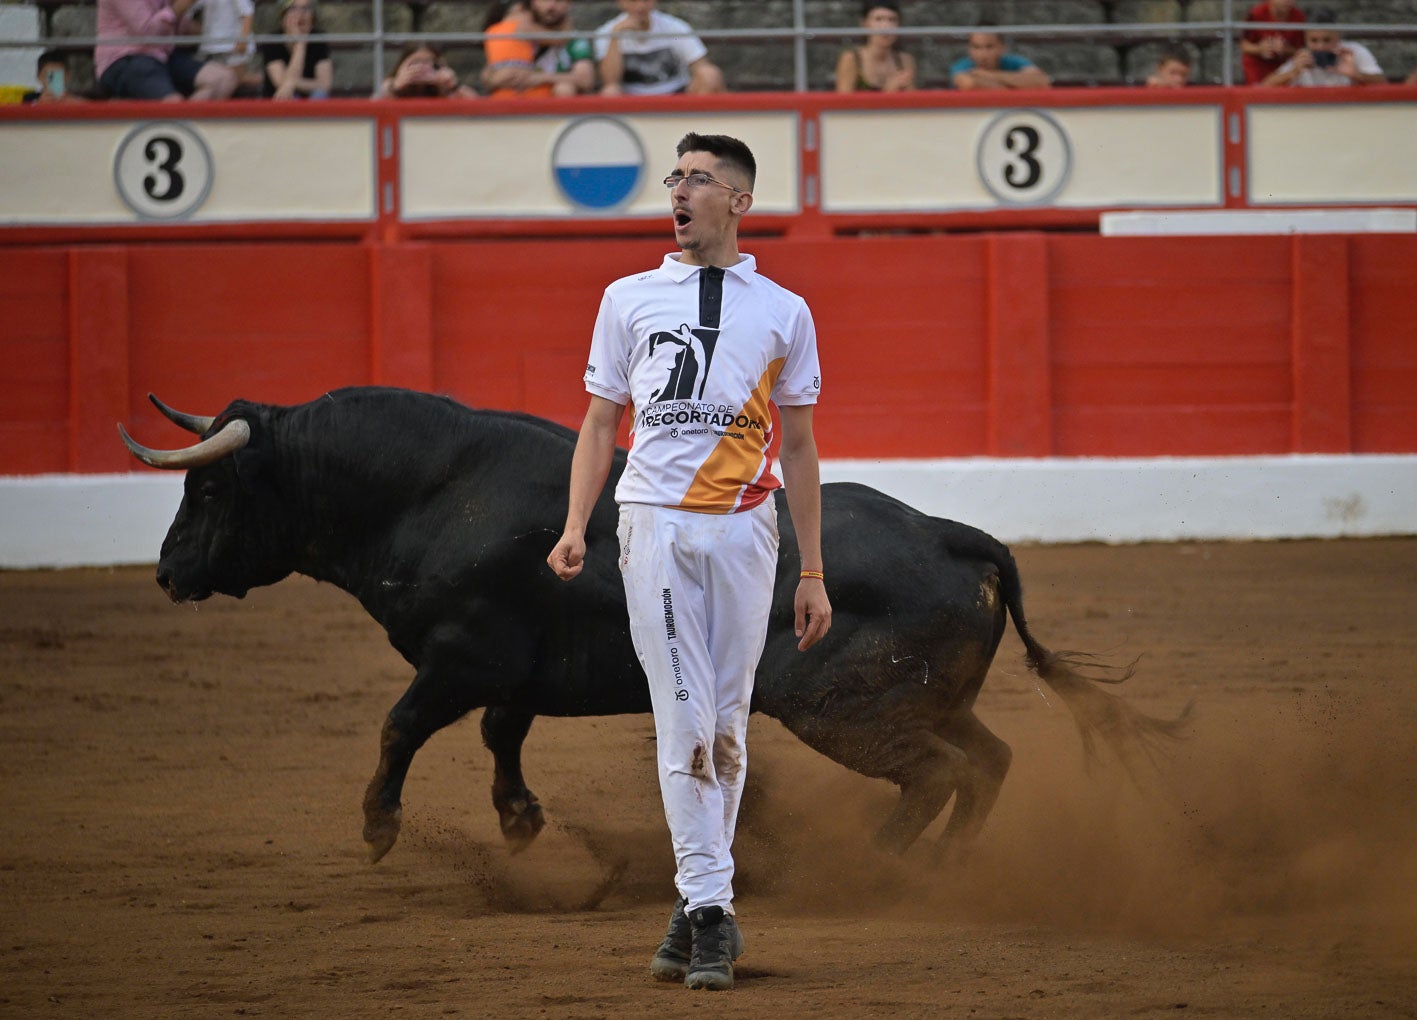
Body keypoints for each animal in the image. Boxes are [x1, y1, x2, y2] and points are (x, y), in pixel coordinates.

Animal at [119, 385, 1184, 867]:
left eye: (208, 487)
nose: (165, 572)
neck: (429, 492)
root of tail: (955, 535)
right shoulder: (517, 671)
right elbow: (502, 738)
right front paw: (520, 823)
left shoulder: (462, 657)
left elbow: (401, 725)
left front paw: (380, 827)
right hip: (927, 695)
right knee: (988, 760)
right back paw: (940, 865)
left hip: (831, 700)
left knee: (936, 772)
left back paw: (872, 868)